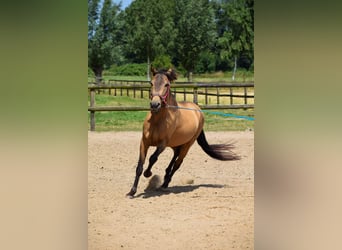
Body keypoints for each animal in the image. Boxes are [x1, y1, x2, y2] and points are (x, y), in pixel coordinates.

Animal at [126, 68, 240, 197]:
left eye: (167, 84)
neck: (157, 121)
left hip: (187, 145)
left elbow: (153, 158)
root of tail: (198, 110)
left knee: (177, 163)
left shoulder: (162, 144)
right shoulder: (144, 142)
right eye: (151, 83)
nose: (155, 104)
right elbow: (139, 166)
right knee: (175, 155)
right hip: (176, 144)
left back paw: (165, 184)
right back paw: (165, 177)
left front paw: (148, 173)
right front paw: (132, 191)